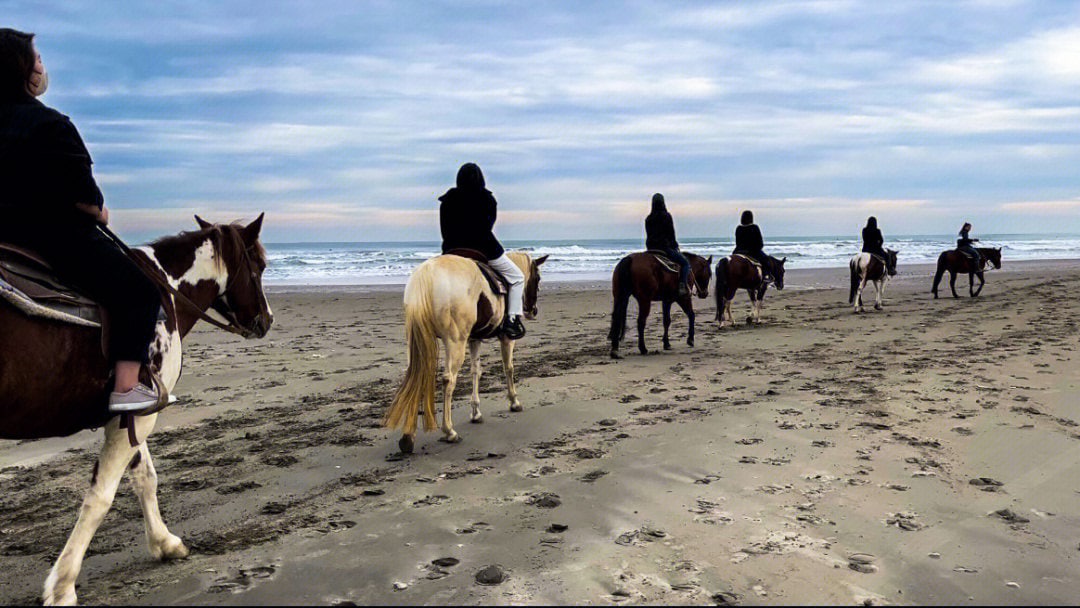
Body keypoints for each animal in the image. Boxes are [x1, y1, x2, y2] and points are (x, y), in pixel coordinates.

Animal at [0, 215, 273, 606]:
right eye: (261, 266)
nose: (267, 319)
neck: (165, 289)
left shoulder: (135, 411)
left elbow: (145, 477)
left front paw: (164, 542)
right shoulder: (138, 416)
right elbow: (101, 497)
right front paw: (62, 585)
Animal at [383, 251, 548, 454]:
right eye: (537, 278)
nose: (534, 310)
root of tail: (426, 273)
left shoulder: (474, 339)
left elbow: (475, 371)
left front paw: (476, 412)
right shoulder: (506, 338)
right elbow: (508, 367)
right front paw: (514, 402)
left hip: (416, 342)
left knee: (415, 377)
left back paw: (408, 437)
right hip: (455, 342)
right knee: (448, 380)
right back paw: (449, 431)